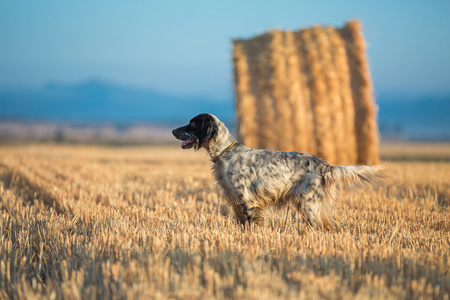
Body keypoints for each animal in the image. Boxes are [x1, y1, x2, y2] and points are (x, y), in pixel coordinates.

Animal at [171, 113, 384, 230]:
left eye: (192, 124)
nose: (173, 131)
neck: (226, 152)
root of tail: (325, 165)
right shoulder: (235, 202)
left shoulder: (247, 200)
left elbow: (252, 224)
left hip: (309, 206)